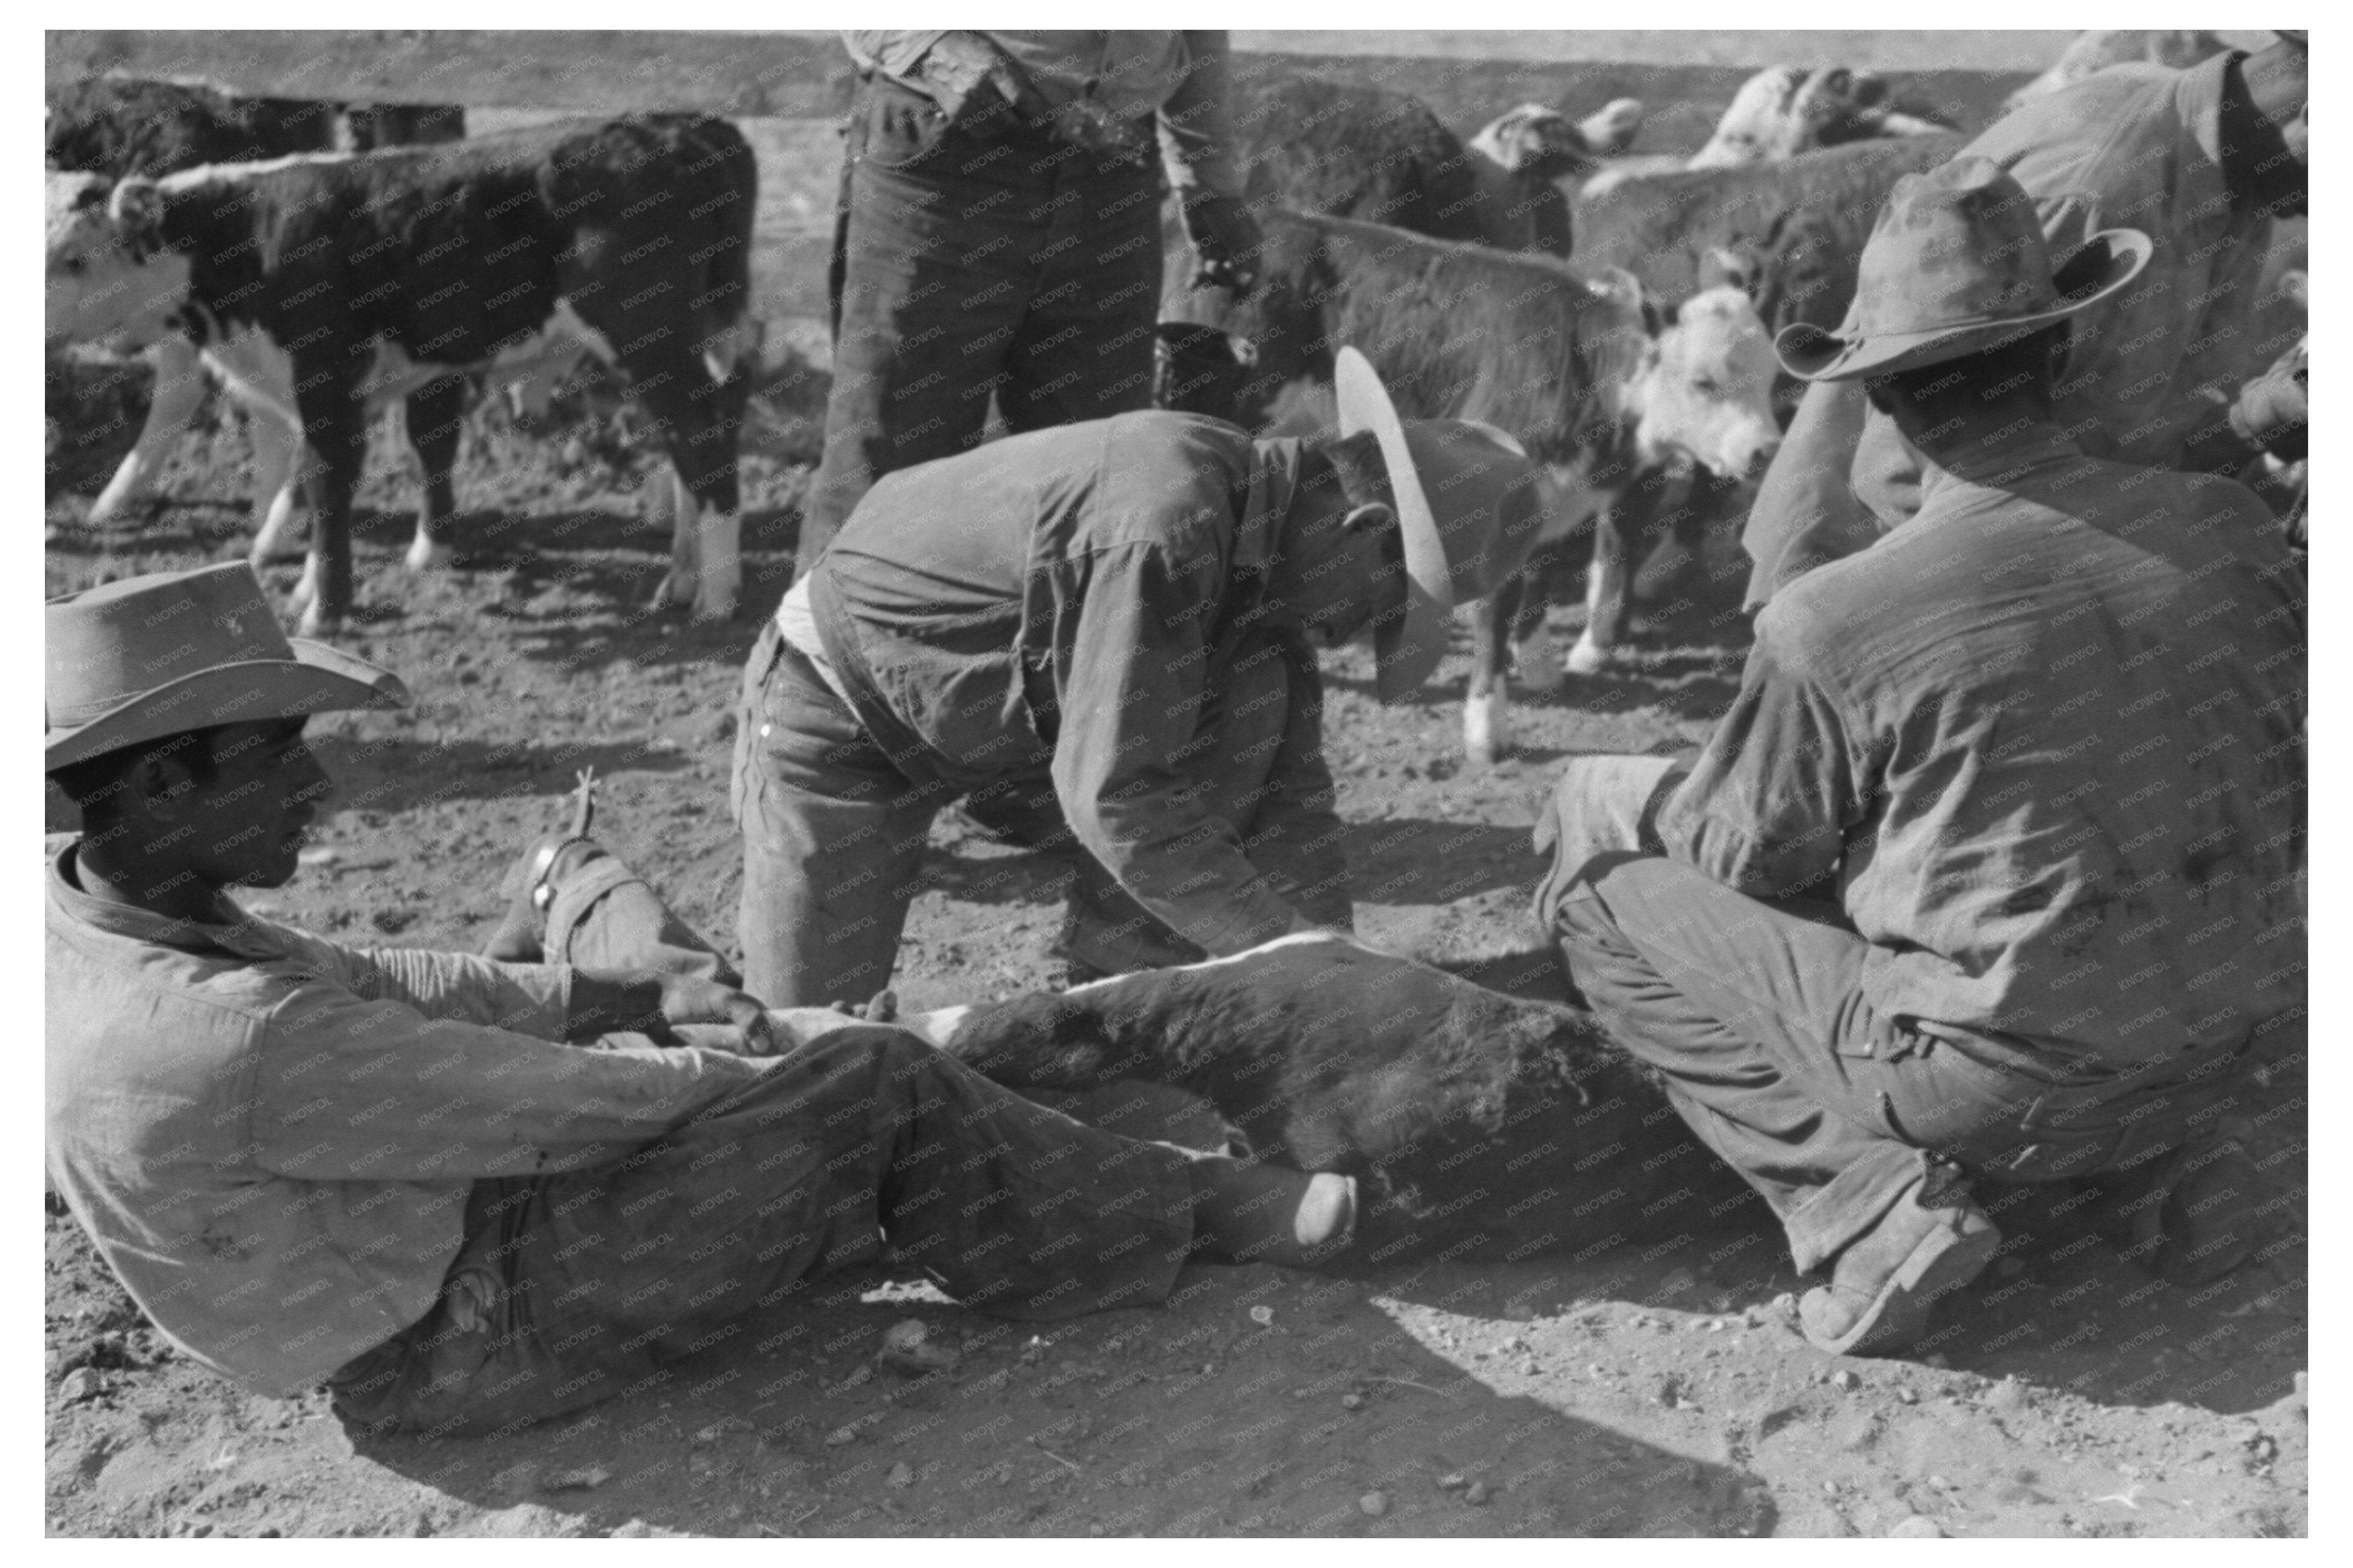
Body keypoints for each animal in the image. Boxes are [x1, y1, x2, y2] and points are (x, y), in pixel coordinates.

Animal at [1167, 205, 1769, 771]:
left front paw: (1539, 663)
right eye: (1703, 381)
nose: (1764, 450)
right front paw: (1486, 727)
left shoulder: (1549, 496)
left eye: (1771, 377)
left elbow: (1540, 570)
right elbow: (1492, 610)